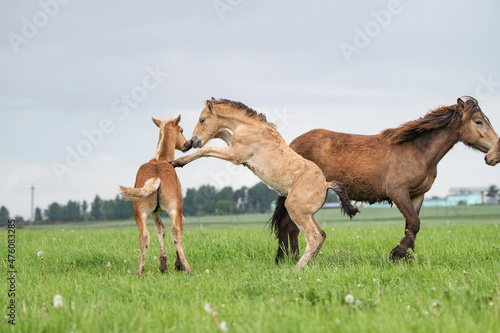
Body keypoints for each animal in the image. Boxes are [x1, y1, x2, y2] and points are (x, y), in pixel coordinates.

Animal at [120, 115, 192, 276]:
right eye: (181, 130)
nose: (188, 143)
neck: (160, 158)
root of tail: (156, 178)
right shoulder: (176, 209)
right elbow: (176, 227)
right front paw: (176, 264)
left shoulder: (153, 212)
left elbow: (160, 230)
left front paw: (163, 266)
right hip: (174, 209)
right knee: (176, 231)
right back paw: (187, 268)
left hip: (140, 212)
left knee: (144, 235)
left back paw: (140, 272)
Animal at [171, 98, 356, 268]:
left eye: (202, 120)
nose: (193, 141)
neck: (251, 126)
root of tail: (326, 184)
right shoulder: (234, 146)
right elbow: (223, 134)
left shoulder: (235, 155)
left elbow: (207, 150)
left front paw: (177, 162)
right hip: (309, 214)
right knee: (322, 234)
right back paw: (309, 264)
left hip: (295, 210)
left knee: (314, 237)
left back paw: (297, 268)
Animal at [272, 96, 498, 262]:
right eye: (478, 121)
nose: (494, 153)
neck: (417, 151)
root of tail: (292, 144)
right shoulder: (398, 193)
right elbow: (414, 223)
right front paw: (396, 254)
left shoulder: (417, 195)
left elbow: (411, 226)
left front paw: (407, 258)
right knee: (289, 224)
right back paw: (288, 259)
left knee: (290, 225)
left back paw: (288, 258)